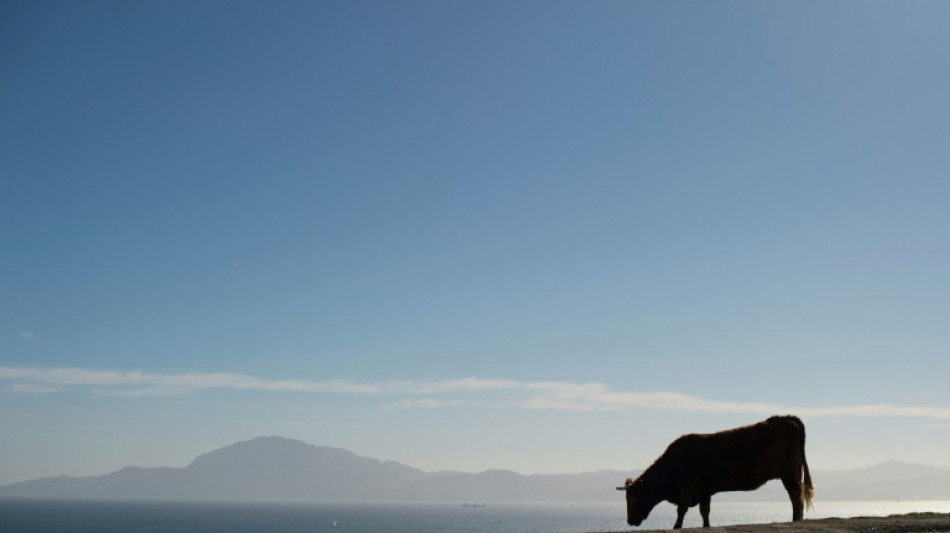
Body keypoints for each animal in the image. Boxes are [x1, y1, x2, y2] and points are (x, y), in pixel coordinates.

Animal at [620, 414, 816, 524]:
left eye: (632, 497)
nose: (629, 521)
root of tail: (785, 418)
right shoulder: (705, 491)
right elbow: (704, 513)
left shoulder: (688, 489)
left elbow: (681, 511)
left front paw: (676, 527)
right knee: (796, 497)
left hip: (789, 475)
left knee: (796, 497)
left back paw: (795, 520)